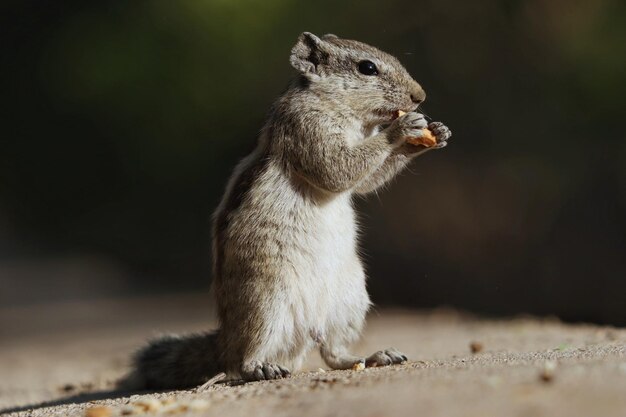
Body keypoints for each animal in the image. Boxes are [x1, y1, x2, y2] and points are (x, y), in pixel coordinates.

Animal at [118, 33, 448, 390]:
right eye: (367, 68)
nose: (419, 96)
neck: (341, 109)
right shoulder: (306, 128)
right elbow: (337, 169)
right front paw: (400, 130)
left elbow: (364, 182)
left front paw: (436, 133)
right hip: (264, 300)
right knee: (243, 358)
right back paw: (260, 368)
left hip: (351, 301)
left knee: (333, 353)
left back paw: (373, 356)